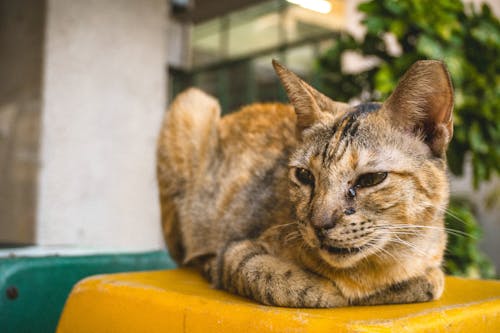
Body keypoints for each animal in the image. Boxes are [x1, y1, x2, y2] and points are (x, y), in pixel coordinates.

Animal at [156, 59, 454, 306]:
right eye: (305, 176)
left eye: (371, 178)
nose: (319, 224)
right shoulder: (234, 249)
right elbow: (272, 278)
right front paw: (329, 290)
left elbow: (432, 282)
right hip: (192, 104)